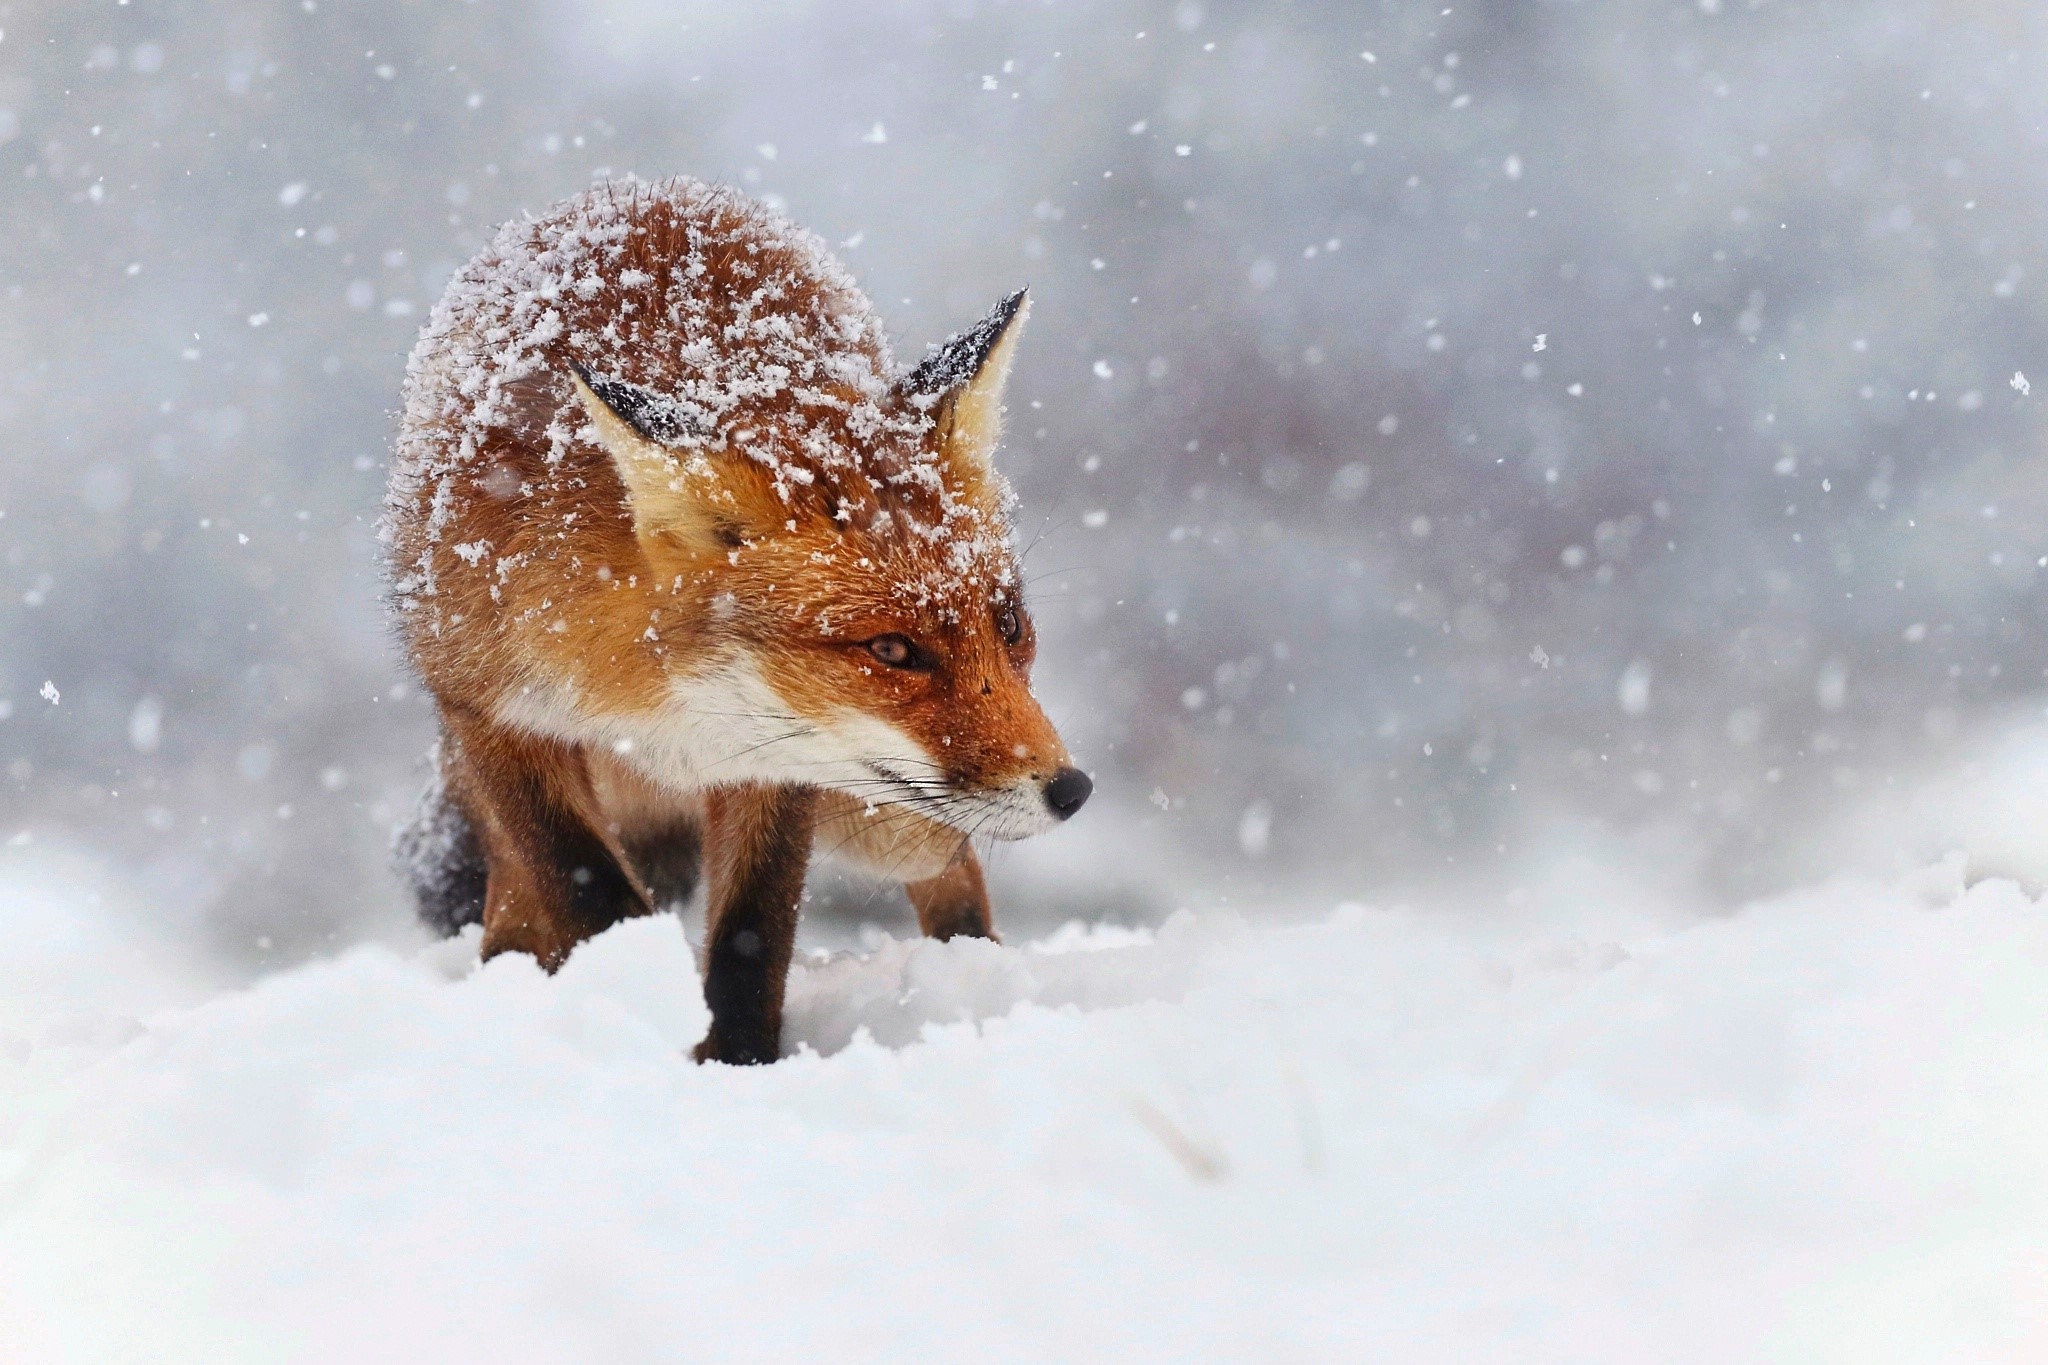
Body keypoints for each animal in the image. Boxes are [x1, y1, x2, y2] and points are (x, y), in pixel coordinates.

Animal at [383, 177, 1089, 1064]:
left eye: (1010, 623)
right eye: (891, 648)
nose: (1072, 788)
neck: (655, 701)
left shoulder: (774, 768)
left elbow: (753, 938)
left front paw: (739, 1060)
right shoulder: (492, 711)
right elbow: (586, 894)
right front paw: (636, 1012)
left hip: (887, 817)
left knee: (956, 878)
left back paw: (971, 979)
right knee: (510, 896)